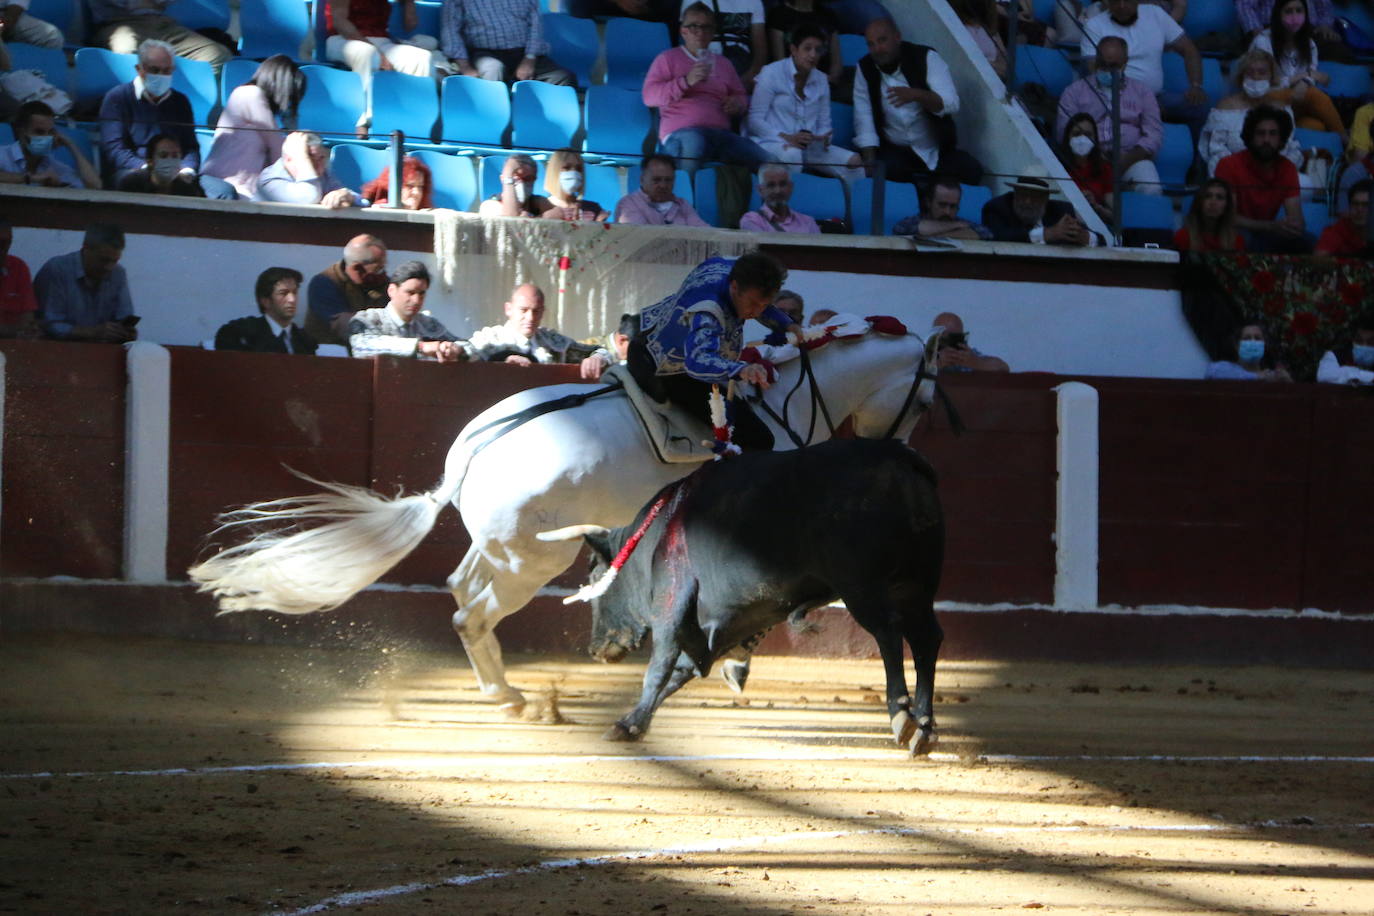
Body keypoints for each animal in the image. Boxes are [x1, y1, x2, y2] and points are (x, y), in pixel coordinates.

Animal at [190, 328, 945, 708]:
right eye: (926, 400)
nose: (907, 449)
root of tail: (470, 455)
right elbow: (759, 603)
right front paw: (736, 663)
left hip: (501, 549)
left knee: (461, 594)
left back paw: (502, 689)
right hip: (533, 561)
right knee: (471, 612)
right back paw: (508, 698)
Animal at [546, 436, 945, 758]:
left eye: (593, 578)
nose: (596, 649)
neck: (654, 536)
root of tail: (898, 456)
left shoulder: (671, 606)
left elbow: (660, 668)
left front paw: (630, 722)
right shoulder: (730, 622)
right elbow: (683, 670)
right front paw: (630, 723)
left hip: (861, 586)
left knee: (889, 634)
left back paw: (902, 716)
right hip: (916, 586)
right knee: (926, 640)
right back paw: (924, 728)